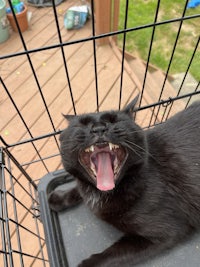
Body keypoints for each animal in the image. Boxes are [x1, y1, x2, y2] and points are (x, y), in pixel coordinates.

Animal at [48, 97, 200, 267]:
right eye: (82, 124)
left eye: (115, 120)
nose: (99, 128)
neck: (103, 194)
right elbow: (80, 187)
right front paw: (59, 198)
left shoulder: (165, 231)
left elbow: (108, 256)